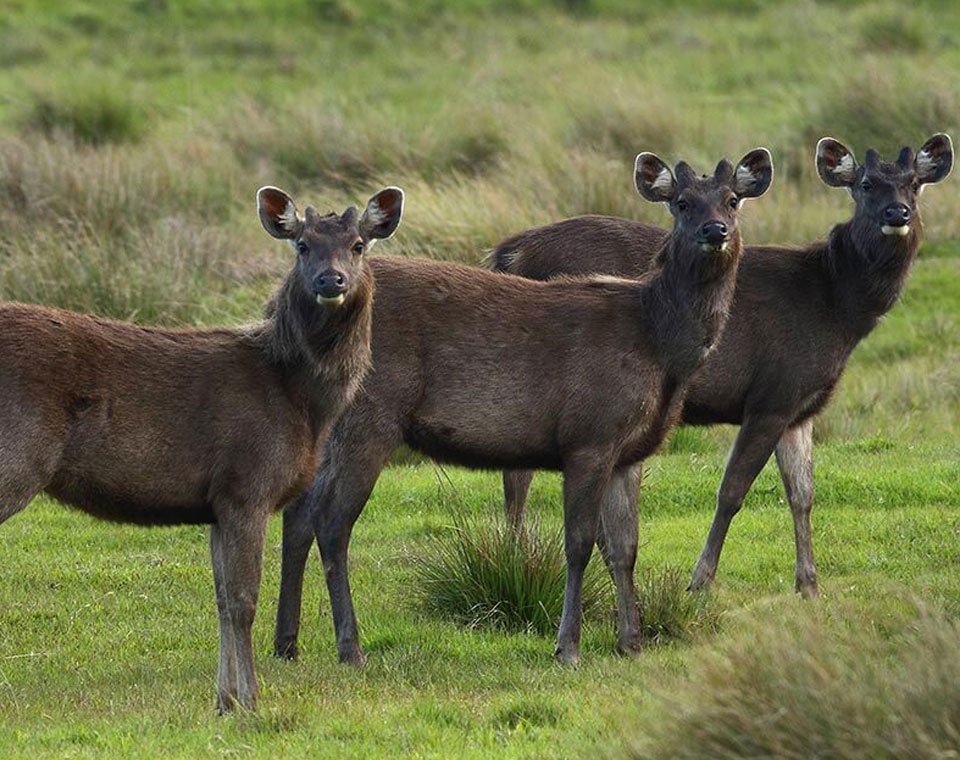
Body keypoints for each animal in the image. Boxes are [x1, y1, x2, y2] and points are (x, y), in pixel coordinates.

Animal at [0, 186, 404, 712]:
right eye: (302, 245)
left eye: (358, 245)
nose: (330, 278)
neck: (300, 400)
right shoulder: (246, 484)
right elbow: (244, 601)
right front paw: (252, 700)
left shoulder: (216, 502)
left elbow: (221, 602)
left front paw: (224, 701)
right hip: (15, 456)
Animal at [274, 145, 776, 664]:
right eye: (680, 203)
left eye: (732, 200)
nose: (714, 231)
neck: (657, 344)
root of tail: (277, 307)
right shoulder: (589, 434)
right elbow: (579, 543)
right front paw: (568, 647)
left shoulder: (629, 451)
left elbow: (625, 547)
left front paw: (631, 643)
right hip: (370, 418)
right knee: (332, 522)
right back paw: (350, 647)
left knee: (299, 514)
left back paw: (287, 643)